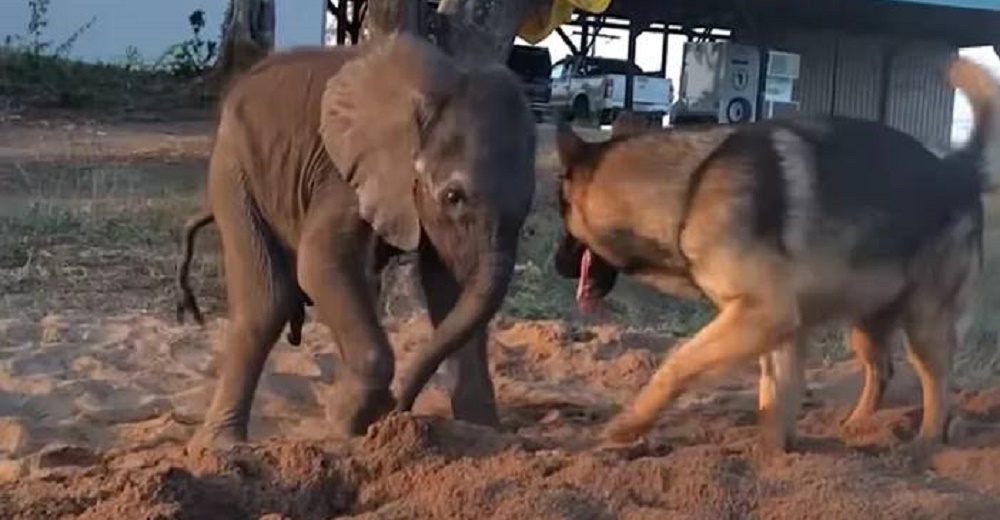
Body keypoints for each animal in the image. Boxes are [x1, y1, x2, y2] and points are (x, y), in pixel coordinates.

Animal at [183, 33, 536, 450]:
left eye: (529, 206)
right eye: (453, 196)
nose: (397, 409)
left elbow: (449, 286)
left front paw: (484, 434)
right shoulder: (344, 172)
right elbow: (318, 261)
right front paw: (344, 418)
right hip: (234, 169)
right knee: (267, 302)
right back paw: (221, 446)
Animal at [556, 58, 1000, 450]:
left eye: (563, 216)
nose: (558, 266)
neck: (688, 191)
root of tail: (957, 168)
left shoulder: (765, 315)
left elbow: (678, 362)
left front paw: (629, 425)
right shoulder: (776, 327)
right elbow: (774, 397)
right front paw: (775, 458)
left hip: (924, 322)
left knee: (938, 384)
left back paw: (924, 445)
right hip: (867, 323)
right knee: (883, 371)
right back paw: (855, 426)